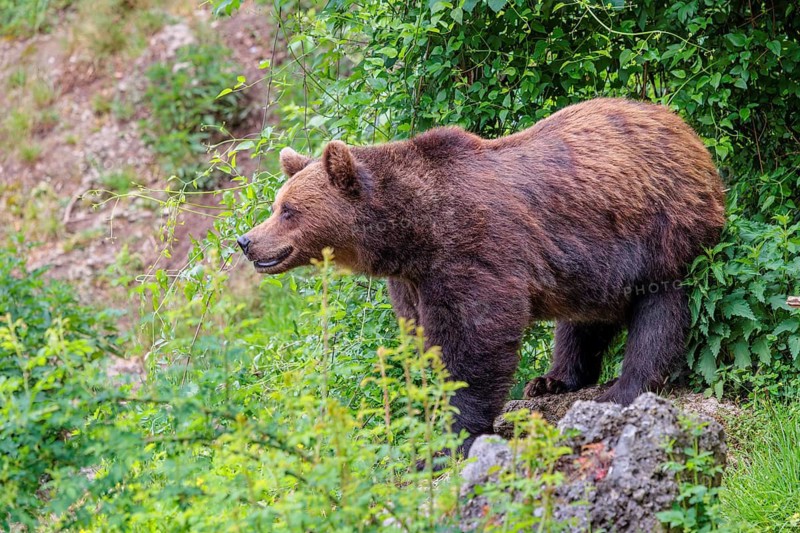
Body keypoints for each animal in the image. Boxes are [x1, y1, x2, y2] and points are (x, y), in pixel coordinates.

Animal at [237, 98, 725, 452]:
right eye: (277, 205)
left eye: (288, 210)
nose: (246, 241)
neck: (413, 232)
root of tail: (687, 131)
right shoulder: (413, 280)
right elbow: (421, 340)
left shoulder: (473, 248)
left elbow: (476, 337)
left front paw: (455, 433)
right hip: (594, 263)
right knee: (583, 320)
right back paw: (552, 380)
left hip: (661, 229)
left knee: (660, 310)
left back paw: (624, 388)